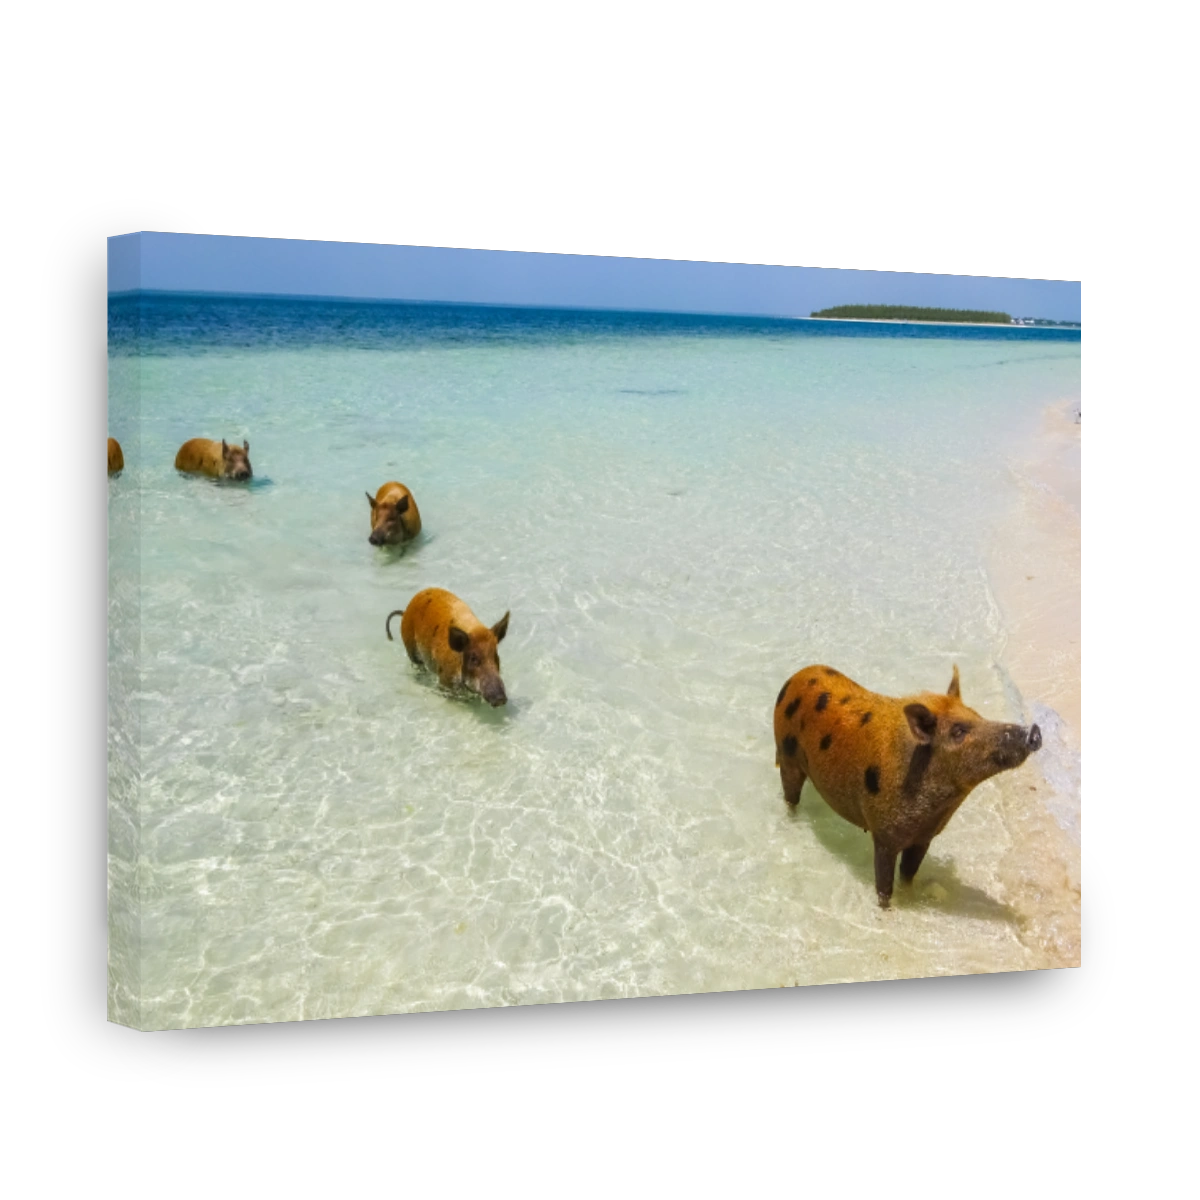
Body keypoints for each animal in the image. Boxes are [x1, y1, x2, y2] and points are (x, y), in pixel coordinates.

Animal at [773, 663, 1042, 908]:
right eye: (958, 731)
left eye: (978, 715)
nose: (1034, 731)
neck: (936, 808)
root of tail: (796, 676)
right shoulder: (884, 835)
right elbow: (884, 885)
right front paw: (885, 909)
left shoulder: (924, 838)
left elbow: (908, 875)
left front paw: (911, 896)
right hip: (786, 755)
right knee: (790, 794)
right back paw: (791, 819)